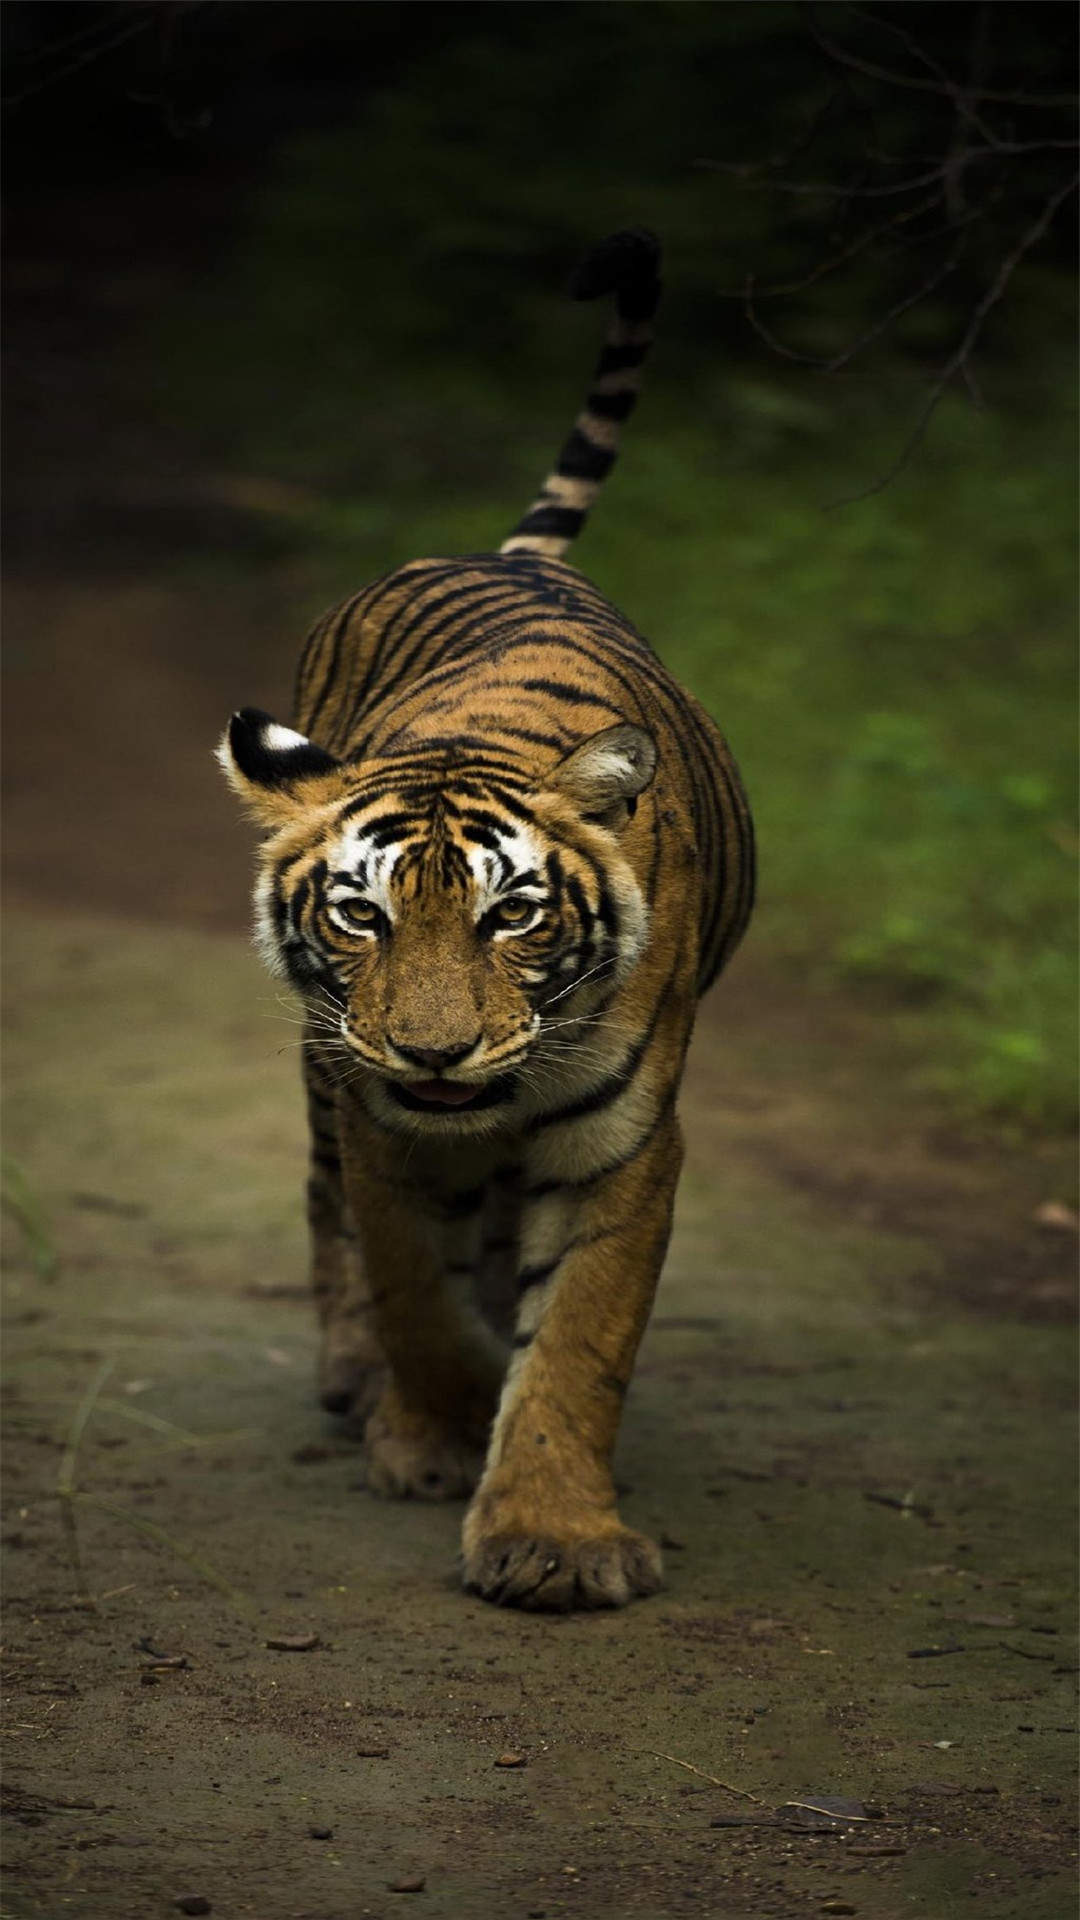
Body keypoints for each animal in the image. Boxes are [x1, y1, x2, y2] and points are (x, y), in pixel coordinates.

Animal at [218, 229, 754, 1610]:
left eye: (515, 915)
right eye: (360, 915)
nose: (435, 1051)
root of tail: (514, 556)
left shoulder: (624, 1142)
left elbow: (577, 1341)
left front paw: (553, 1539)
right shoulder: (380, 1119)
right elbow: (413, 1287)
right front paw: (438, 1425)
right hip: (323, 1077)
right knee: (329, 1214)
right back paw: (358, 1382)